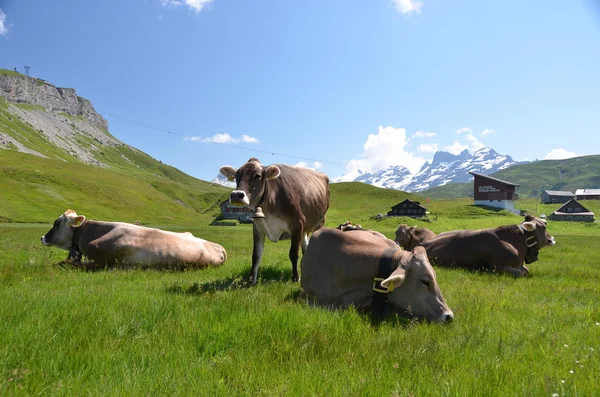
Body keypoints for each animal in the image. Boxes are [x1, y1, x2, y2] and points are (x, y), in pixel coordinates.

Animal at [219, 156, 328, 284]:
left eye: (258, 176)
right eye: (236, 175)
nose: (236, 195)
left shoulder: (297, 223)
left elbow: (293, 253)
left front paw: (295, 277)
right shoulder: (258, 226)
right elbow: (256, 255)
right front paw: (251, 280)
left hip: (319, 222)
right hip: (305, 228)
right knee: (305, 245)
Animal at [420, 215, 556, 276]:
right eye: (544, 226)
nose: (552, 239)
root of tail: (423, 243)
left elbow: (526, 271)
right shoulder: (496, 268)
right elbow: (521, 273)